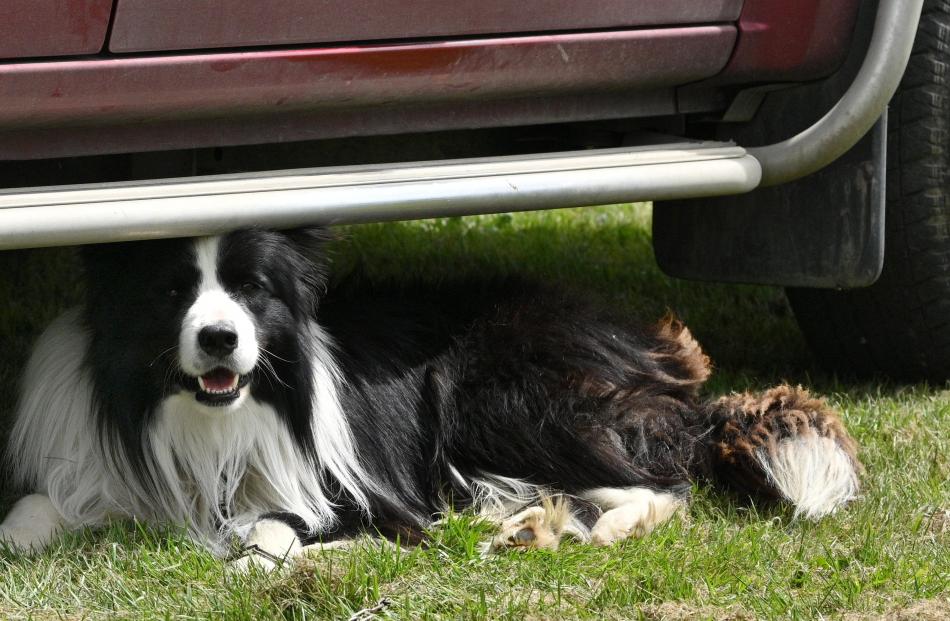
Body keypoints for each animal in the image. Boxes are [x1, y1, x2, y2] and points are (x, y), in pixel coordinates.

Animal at [0, 226, 864, 568]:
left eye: (251, 290)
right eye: (173, 290)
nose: (218, 339)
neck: (192, 414)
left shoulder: (355, 489)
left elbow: (280, 527)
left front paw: (267, 555)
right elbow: (33, 508)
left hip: (490, 391)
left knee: (664, 476)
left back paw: (575, 524)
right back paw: (526, 522)